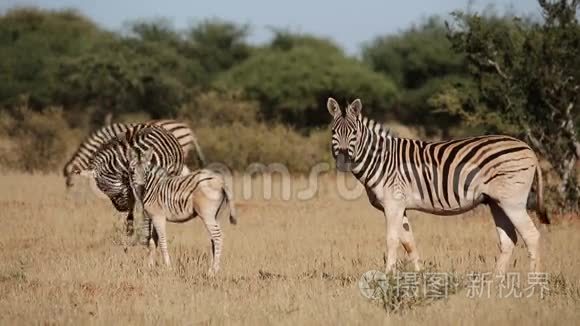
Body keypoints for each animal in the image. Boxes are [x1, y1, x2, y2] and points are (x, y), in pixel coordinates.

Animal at [126, 146, 236, 274]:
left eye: (146, 172)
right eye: (132, 171)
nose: (141, 189)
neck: (153, 188)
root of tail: (220, 181)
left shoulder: (159, 217)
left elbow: (162, 241)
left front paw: (168, 267)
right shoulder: (152, 217)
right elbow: (152, 241)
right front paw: (150, 267)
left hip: (207, 214)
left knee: (218, 236)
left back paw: (214, 271)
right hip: (217, 215)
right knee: (214, 238)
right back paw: (210, 269)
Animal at [328, 97, 552, 276]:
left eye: (354, 132)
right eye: (333, 131)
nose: (342, 162)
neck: (381, 160)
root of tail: (528, 148)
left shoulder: (393, 205)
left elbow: (392, 240)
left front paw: (388, 277)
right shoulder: (400, 207)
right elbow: (409, 243)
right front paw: (420, 278)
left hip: (512, 201)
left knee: (531, 236)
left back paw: (533, 284)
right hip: (496, 202)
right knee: (508, 240)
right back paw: (495, 284)